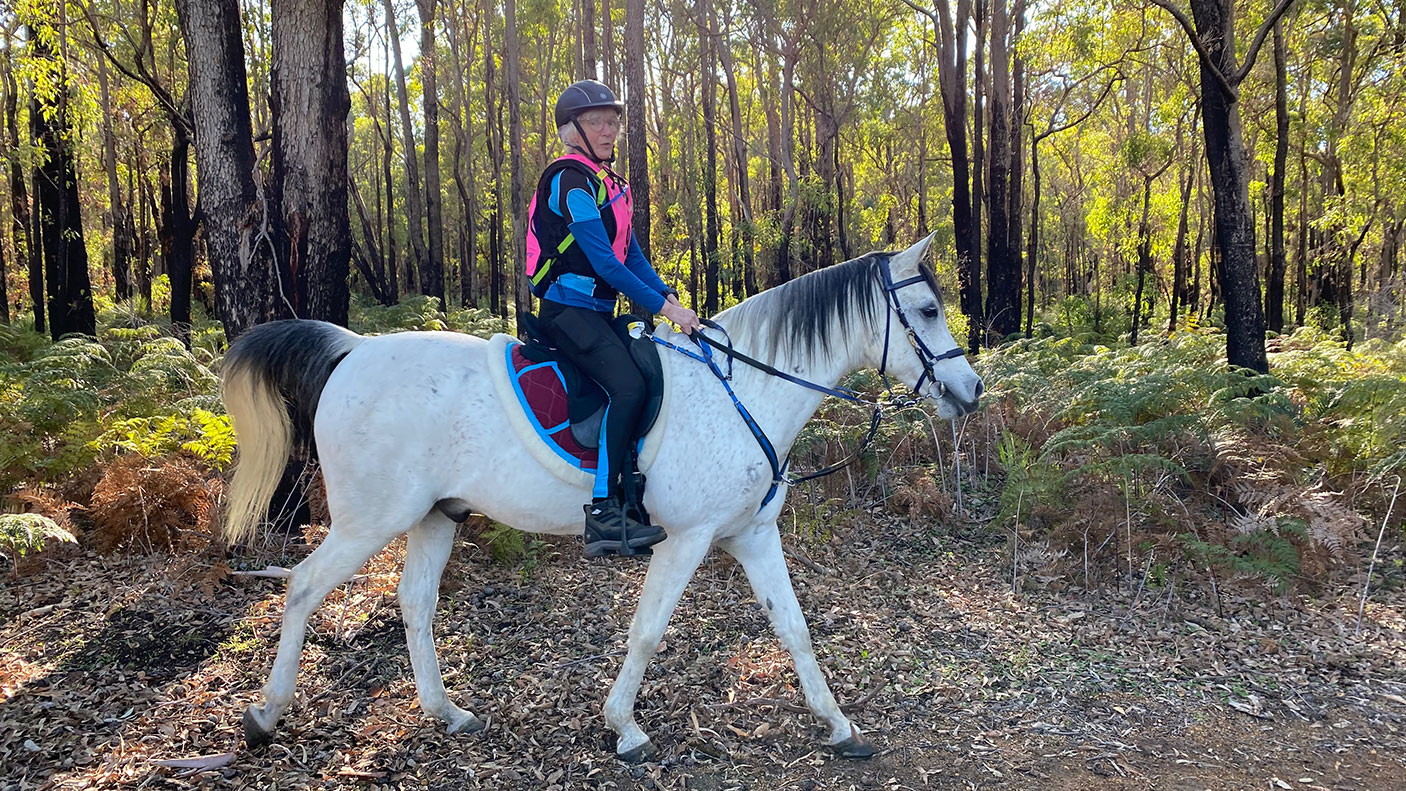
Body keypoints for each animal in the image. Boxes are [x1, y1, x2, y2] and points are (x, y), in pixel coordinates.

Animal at [224, 233, 984, 758]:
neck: (745, 386)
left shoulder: (751, 536)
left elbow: (793, 628)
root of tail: (353, 349)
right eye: (926, 309)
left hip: (435, 516)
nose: (971, 389)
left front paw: (837, 723)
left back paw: (447, 712)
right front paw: (624, 728)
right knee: (302, 586)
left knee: (414, 604)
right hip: (368, 519)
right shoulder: (687, 539)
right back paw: (265, 714)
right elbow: (647, 630)